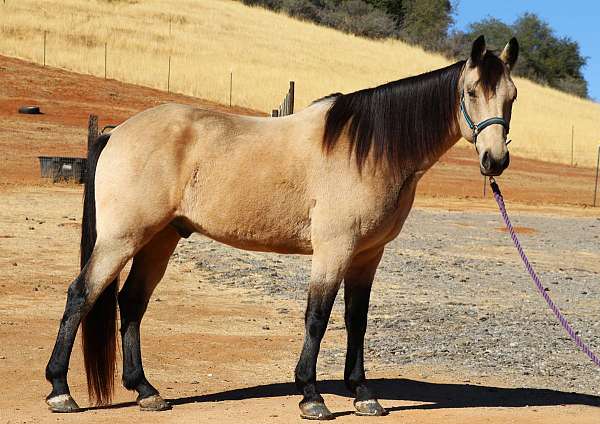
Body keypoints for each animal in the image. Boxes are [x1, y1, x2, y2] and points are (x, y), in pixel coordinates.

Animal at [45, 35, 516, 418]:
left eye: (511, 96)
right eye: (471, 91)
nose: (495, 160)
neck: (367, 149)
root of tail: (117, 132)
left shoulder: (367, 255)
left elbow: (357, 320)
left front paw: (363, 394)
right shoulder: (334, 250)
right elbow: (317, 317)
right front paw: (311, 395)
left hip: (160, 239)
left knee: (131, 302)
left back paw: (146, 391)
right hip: (122, 238)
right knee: (81, 294)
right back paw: (60, 391)